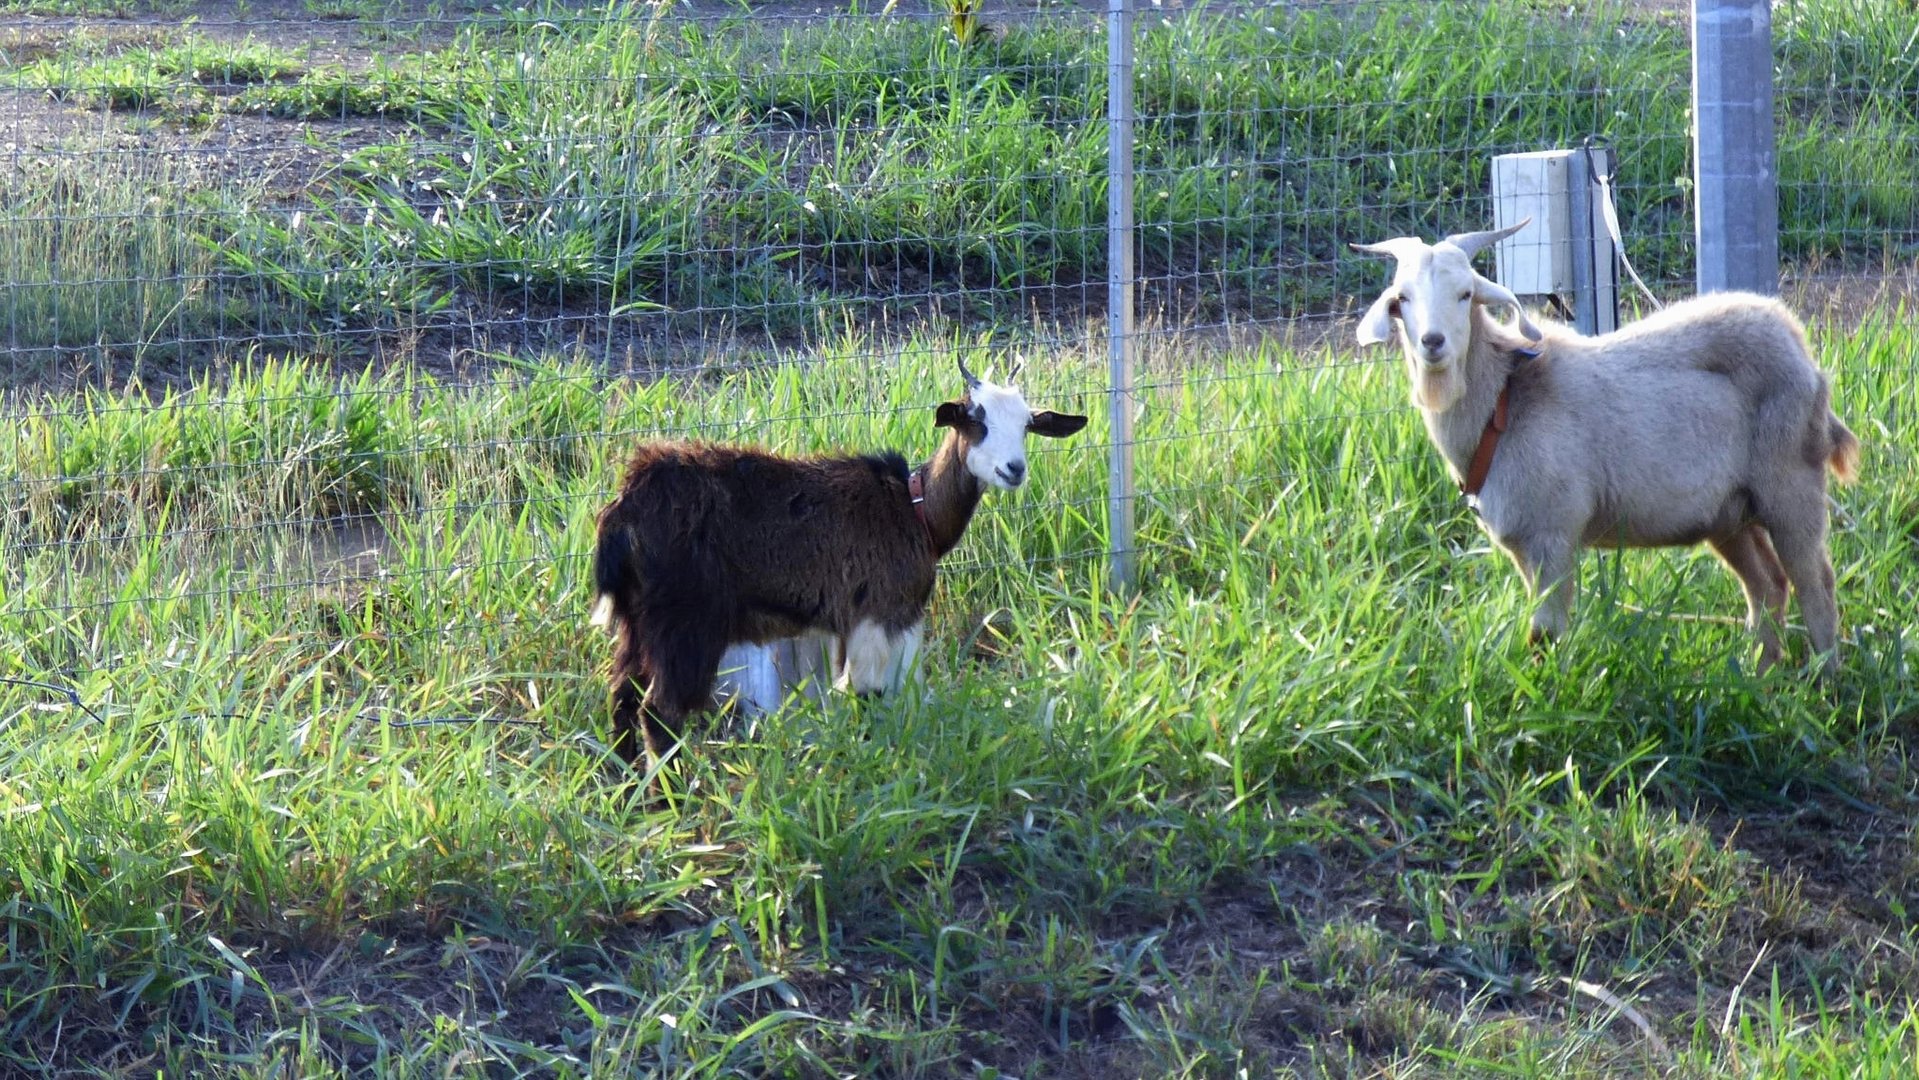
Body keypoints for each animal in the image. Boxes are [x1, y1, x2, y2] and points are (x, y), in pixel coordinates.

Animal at [591, 362, 1089, 778]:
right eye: (975, 420)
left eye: (1027, 425)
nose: (1014, 469)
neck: (915, 511)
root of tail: (624, 508)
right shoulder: (880, 612)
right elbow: (870, 695)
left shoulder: (859, 626)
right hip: (685, 623)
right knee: (660, 713)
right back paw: (668, 800)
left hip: (637, 619)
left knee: (621, 694)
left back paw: (625, 784)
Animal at [1350, 219, 1857, 671]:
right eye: (1402, 299)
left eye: (1465, 294)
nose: (1433, 342)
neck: (1503, 399)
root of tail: (1800, 348)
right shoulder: (1521, 543)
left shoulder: (1553, 532)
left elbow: (1545, 635)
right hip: (1728, 512)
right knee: (1768, 585)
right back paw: (1761, 679)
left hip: (1791, 481)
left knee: (1816, 584)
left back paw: (1823, 682)